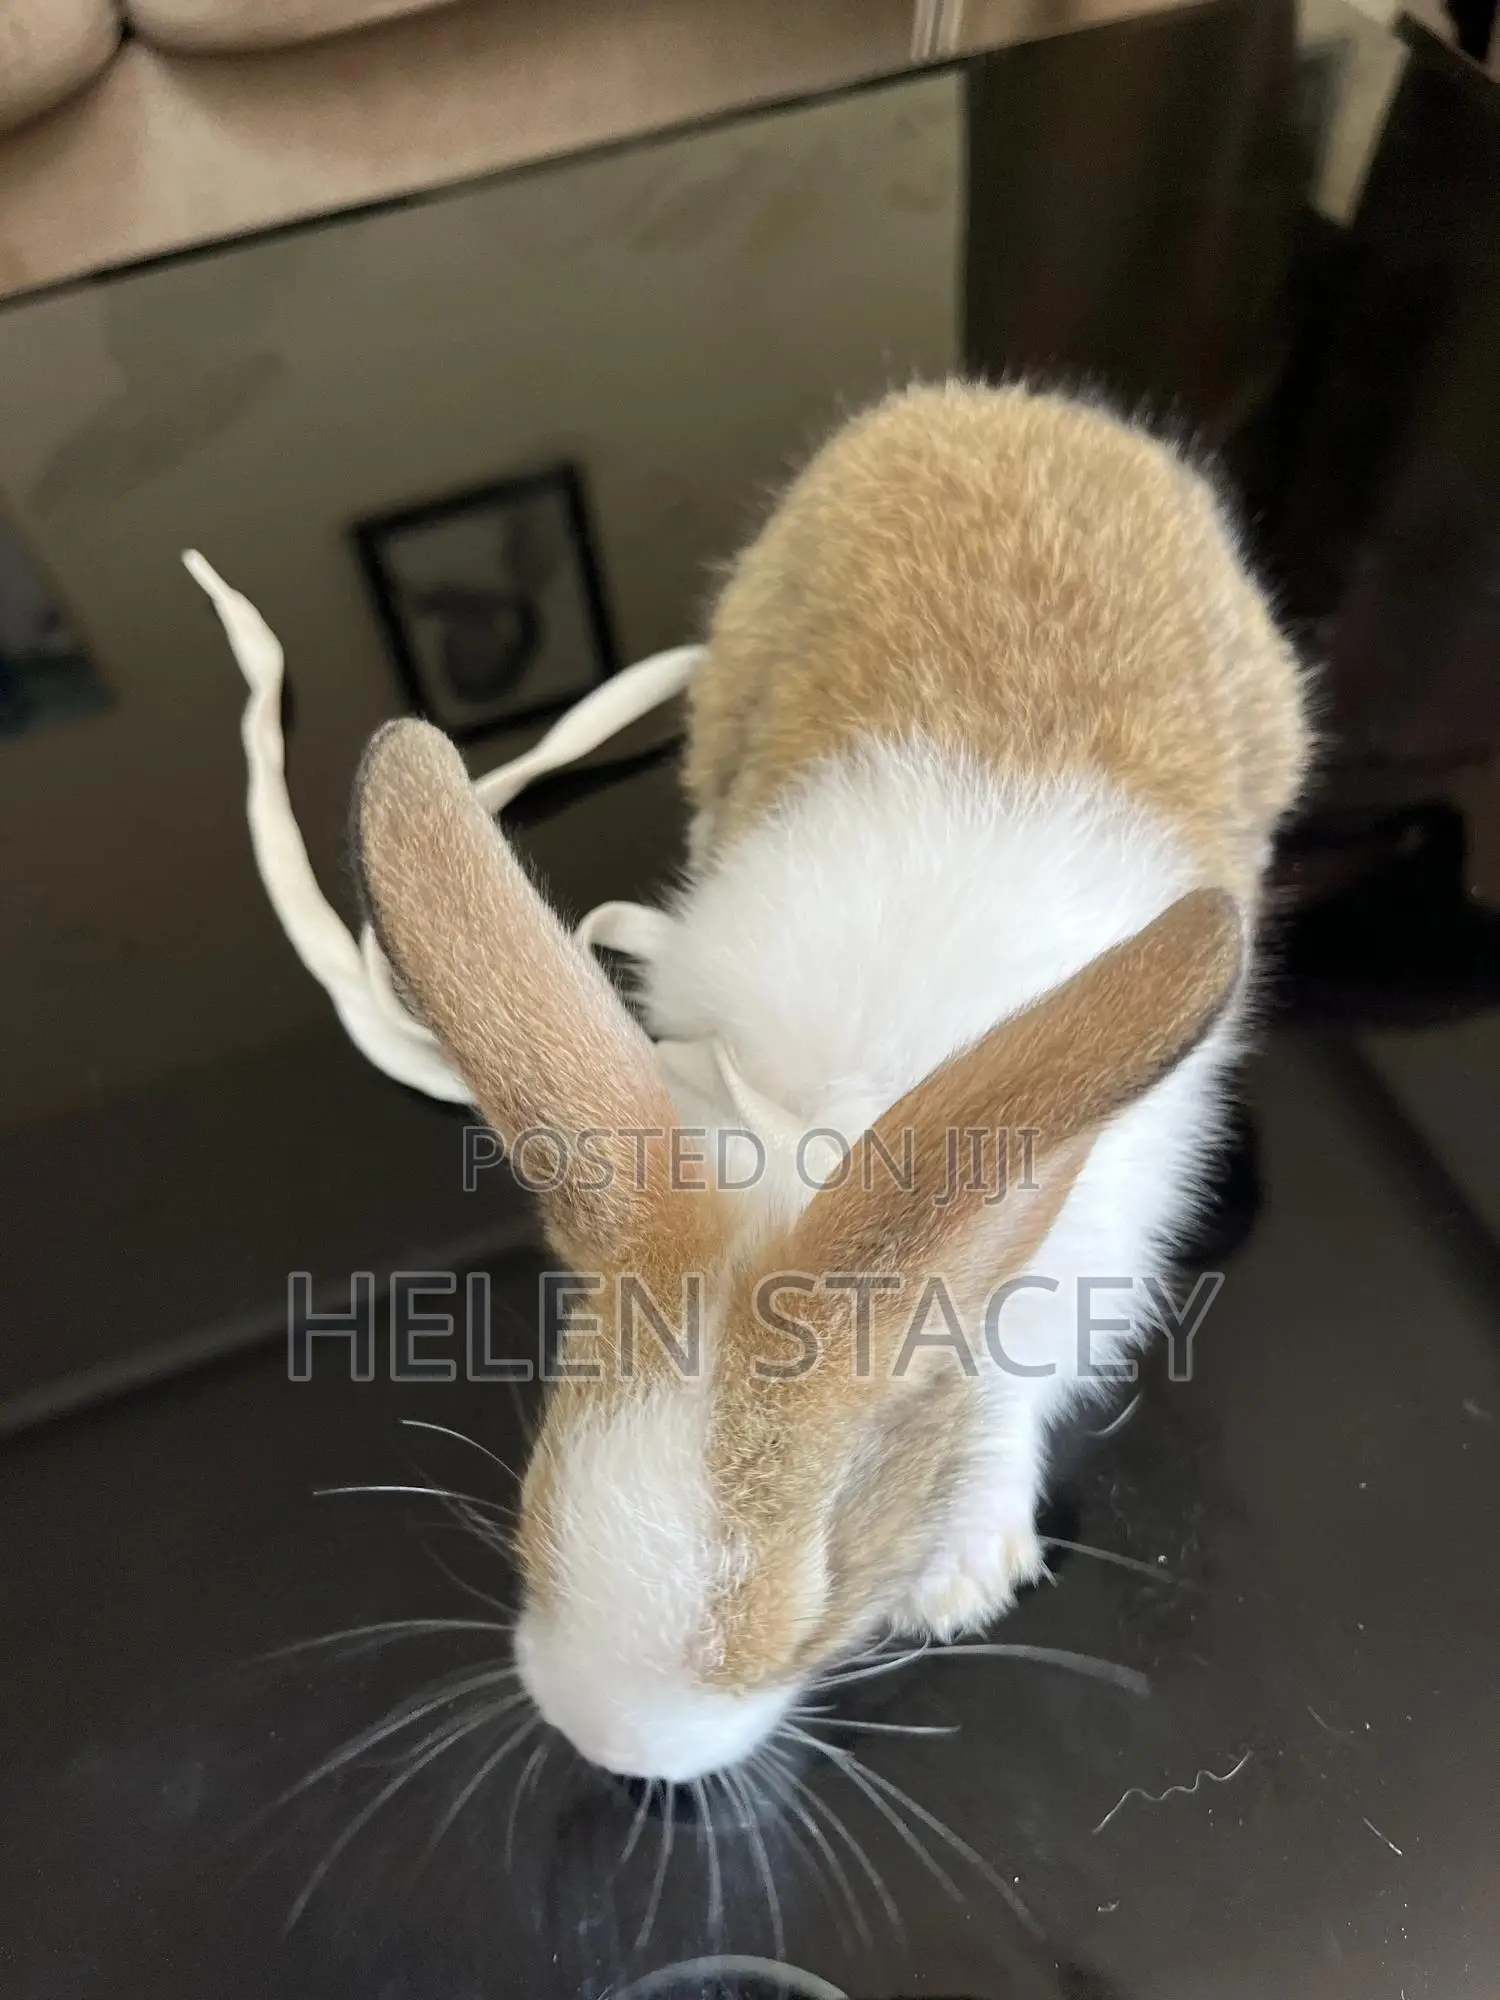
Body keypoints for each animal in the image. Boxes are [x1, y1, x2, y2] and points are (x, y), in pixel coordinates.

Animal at [352, 381, 1311, 1785]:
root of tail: (1021, 409)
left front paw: (963, 1574)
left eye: (821, 1585)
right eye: (538, 1492)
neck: (833, 1125)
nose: (613, 1748)